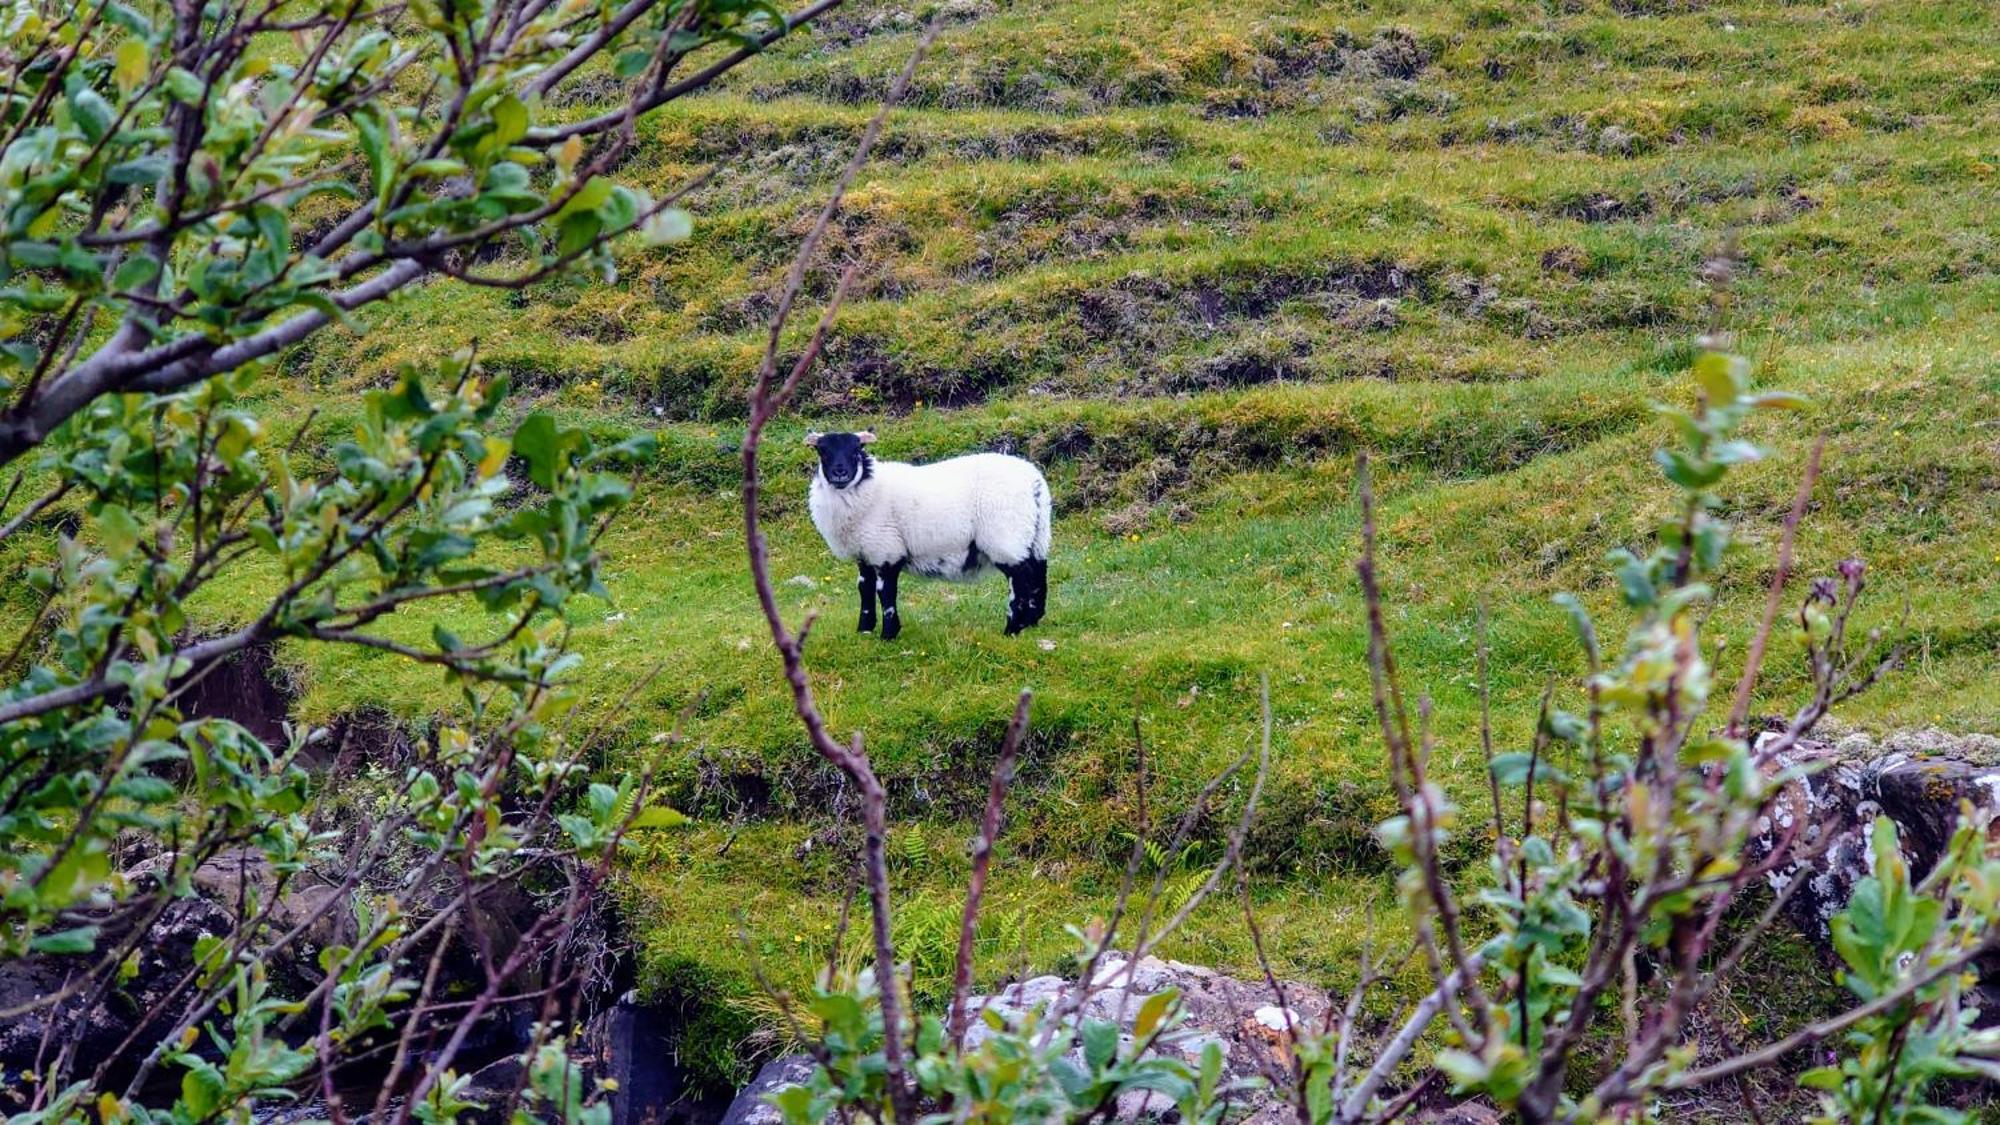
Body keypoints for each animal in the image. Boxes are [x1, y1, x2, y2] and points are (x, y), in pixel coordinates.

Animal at [804, 428, 1056, 640]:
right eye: (822, 451)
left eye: (856, 450)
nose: (840, 473)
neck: (867, 488)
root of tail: (1035, 482)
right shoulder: (865, 552)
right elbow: (864, 588)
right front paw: (864, 630)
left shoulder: (886, 549)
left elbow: (885, 593)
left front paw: (888, 634)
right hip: (1035, 535)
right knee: (1038, 572)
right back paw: (1032, 622)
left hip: (1006, 536)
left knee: (1021, 579)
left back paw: (1012, 629)